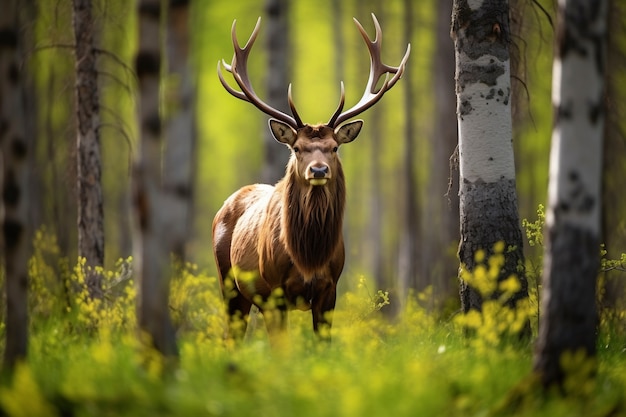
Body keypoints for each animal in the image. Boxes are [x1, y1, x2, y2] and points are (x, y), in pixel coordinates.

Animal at [214, 13, 410, 338]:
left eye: (334, 147)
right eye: (297, 148)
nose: (318, 169)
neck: (309, 257)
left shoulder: (330, 289)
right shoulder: (274, 290)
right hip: (228, 283)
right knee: (232, 336)